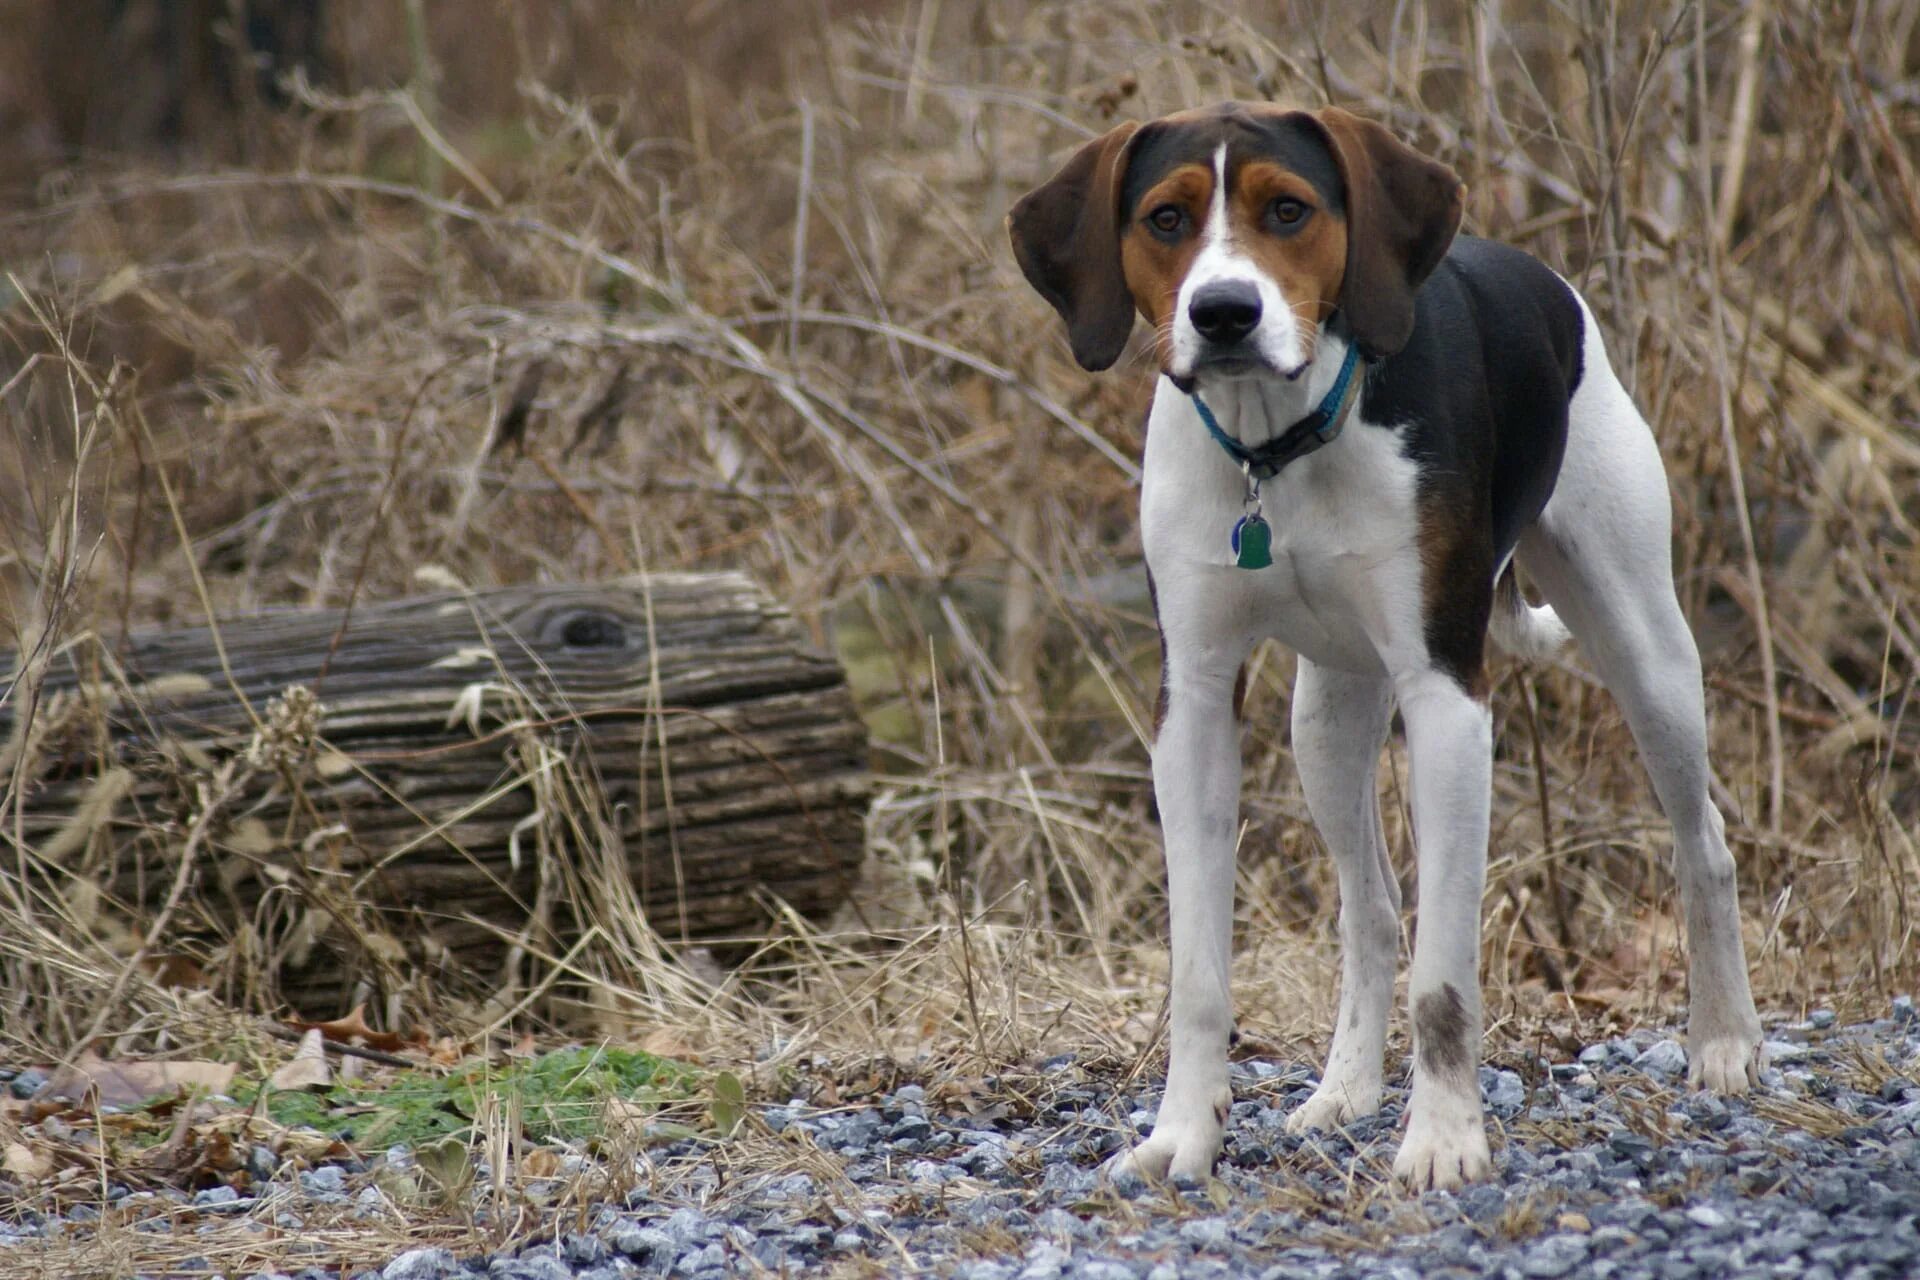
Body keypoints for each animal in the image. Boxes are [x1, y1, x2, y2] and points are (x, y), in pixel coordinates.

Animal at [1013, 105, 1758, 1197]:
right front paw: (1185, 1131)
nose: (1224, 312)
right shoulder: (1191, 705)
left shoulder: (1445, 697)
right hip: (1324, 717)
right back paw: (1344, 1091)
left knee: (1702, 842)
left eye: (1288, 209)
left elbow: (1444, 976)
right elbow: (1199, 972)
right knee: (1369, 906)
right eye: (1165, 218)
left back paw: (1725, 1041)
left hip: (1646, 649)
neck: (1277, 450)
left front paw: (1444, 1139)